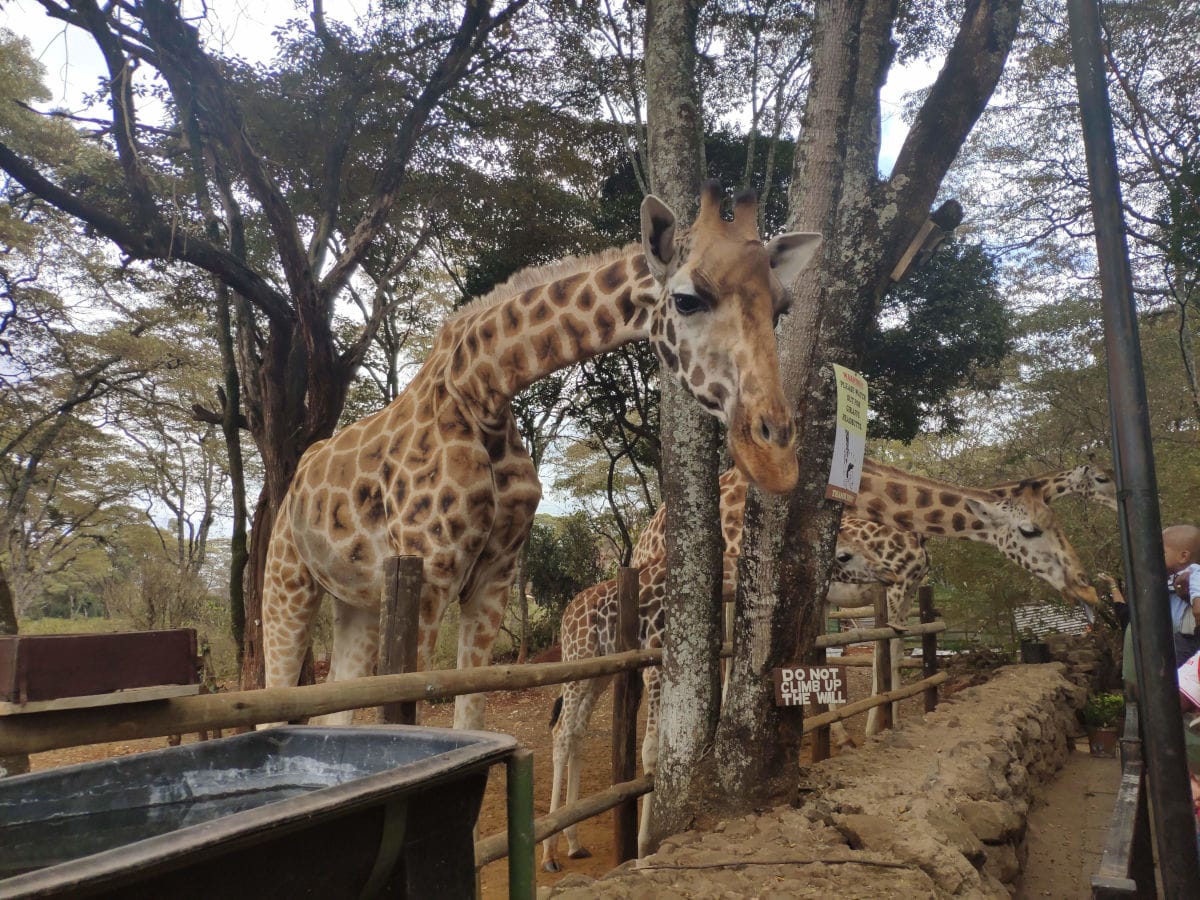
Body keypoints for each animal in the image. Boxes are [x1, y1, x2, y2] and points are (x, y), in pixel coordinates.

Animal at [261, 183, 822, 731]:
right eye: (686, 300)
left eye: (781, 307)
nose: (775, 459)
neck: (479, 390)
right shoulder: (428, 573)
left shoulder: (495, 578)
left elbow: (469, 714)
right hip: (287, 582)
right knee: (276, 697)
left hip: (352, 601)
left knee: (338, 698)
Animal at [541, 460, 1103, 870]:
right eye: (1030, 530)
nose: (1086, 584)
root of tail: (647, 529)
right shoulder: (879, 588)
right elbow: (882, 657)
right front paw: (872, 730)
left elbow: (862, 655)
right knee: (579, 722)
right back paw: (562, 845)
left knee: (582, 722)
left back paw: (570, 840)